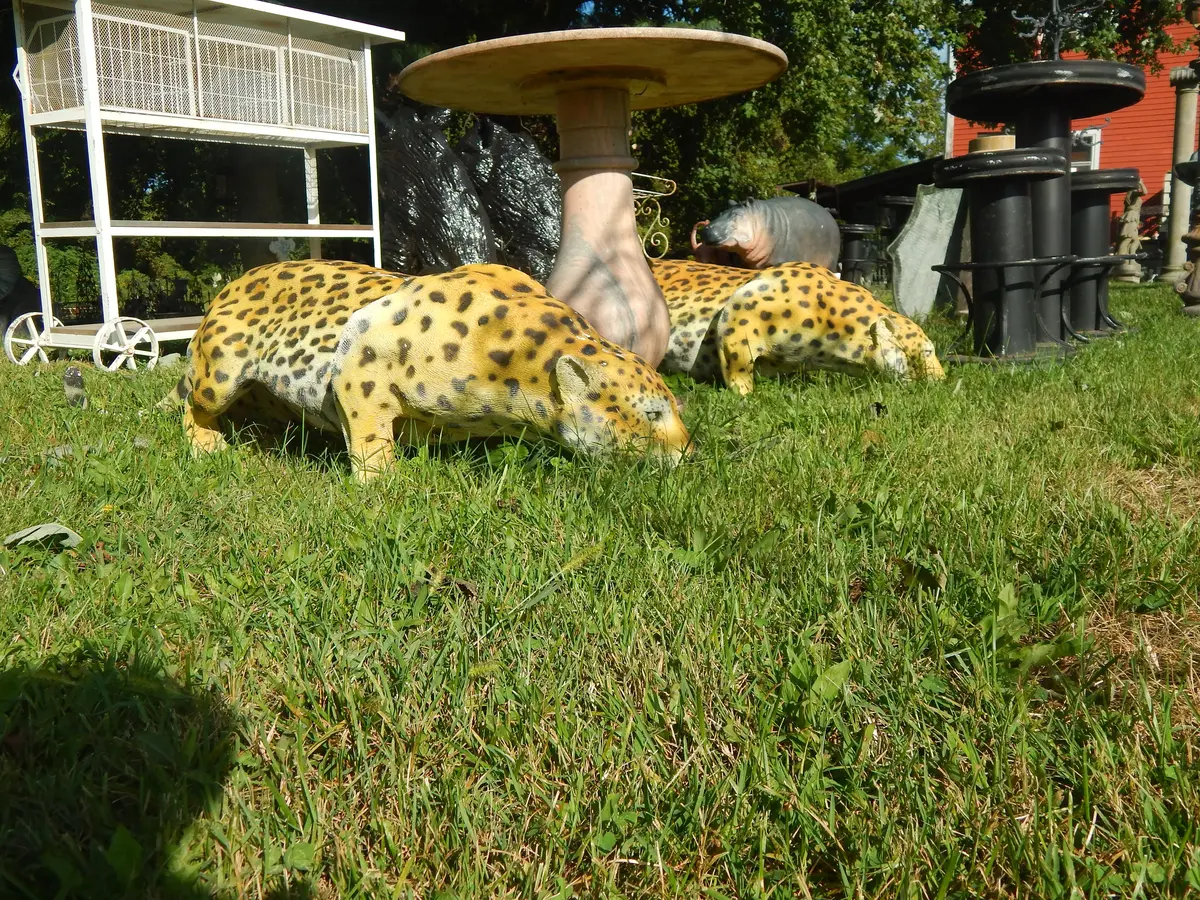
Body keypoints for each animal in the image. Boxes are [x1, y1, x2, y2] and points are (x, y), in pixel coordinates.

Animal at [164, 260, 692, 480]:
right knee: (193, 402)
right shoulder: (361, 356)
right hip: (220, 374)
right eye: (652, 415)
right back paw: (209, 443)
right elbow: (370, 433)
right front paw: (380, 482)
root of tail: (230, 285)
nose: (689, 453)